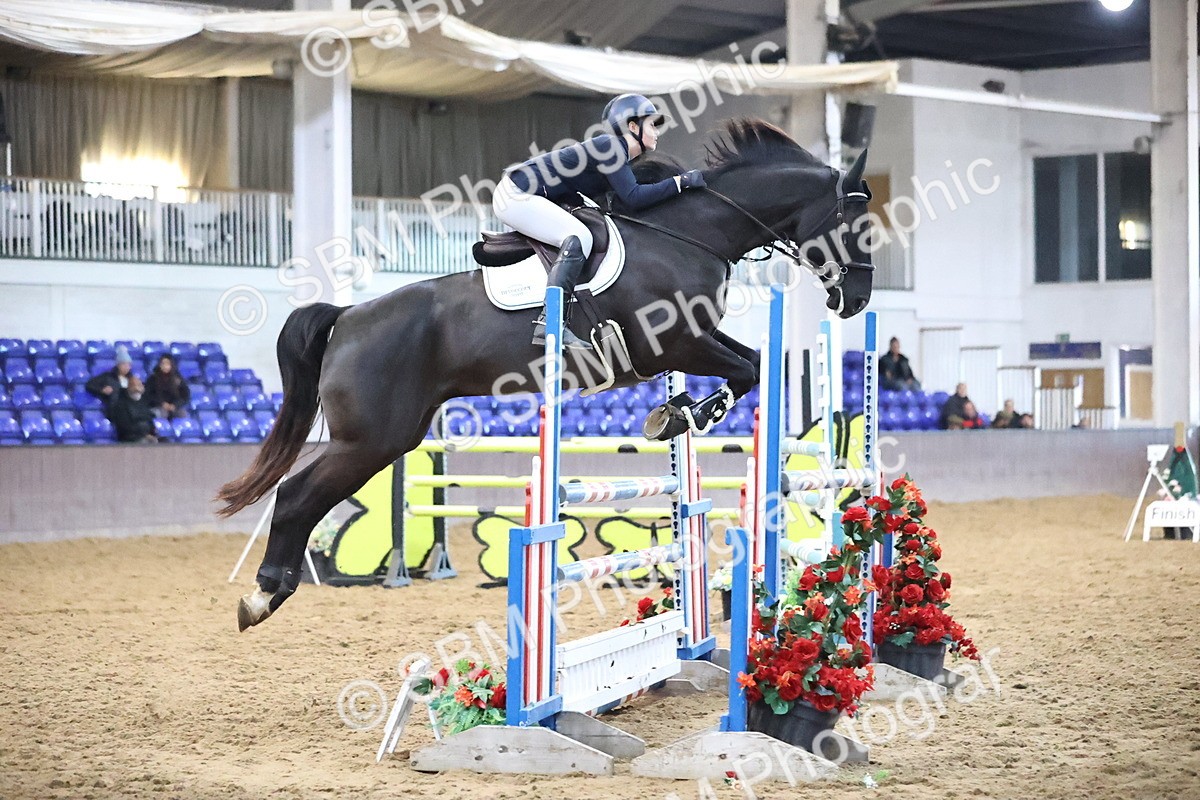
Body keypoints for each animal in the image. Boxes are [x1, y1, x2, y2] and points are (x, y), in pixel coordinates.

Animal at [218, 118, 875, 631]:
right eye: (858, 227)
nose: (857, 302)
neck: (692, 233)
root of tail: (349, 315)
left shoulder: (692, 341)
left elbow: (750, 364)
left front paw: (676, 414)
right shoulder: (674, 344)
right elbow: (747, 367)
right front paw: (684, 414)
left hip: (388, 436)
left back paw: (269, 591)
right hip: (372, 439)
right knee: (296, 495)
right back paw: (264, 594)